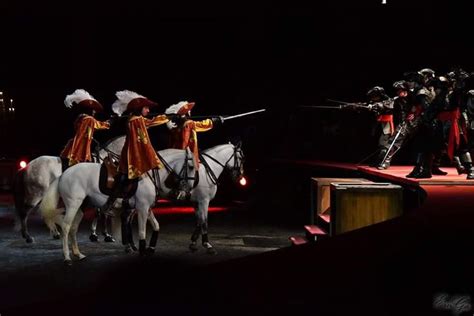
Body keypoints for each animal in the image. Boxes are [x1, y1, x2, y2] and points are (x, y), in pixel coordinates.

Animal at [39, 143, 244, 264]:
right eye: (192, 166)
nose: (186, 189)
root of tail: (64, 174)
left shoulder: (150, 207)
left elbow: (158, 226)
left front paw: (151, 248)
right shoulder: (199, 201)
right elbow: (201, 223)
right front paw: (206, 246)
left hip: (82, 207)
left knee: (73, 228)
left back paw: (78, 254)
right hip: (74, 204)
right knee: (66, 227)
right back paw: (67, 257)